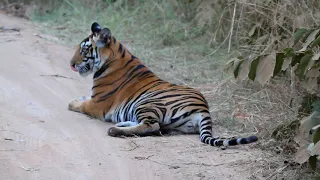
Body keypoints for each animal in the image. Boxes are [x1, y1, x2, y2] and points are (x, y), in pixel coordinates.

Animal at [68, 22, 258, 148]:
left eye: (84, 50)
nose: (71, 64)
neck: (113, 56)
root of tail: (203, 108)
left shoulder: (97, 103)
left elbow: (80, 104)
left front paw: (73, 102)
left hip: (147, 102)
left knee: (152, 125)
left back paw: (115, 130)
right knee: (155, 127)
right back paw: (121, 124)